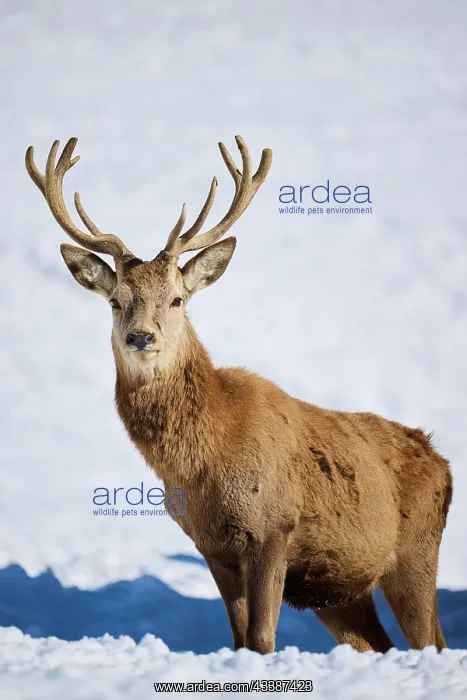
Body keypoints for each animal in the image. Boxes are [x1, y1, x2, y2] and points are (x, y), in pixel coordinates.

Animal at [25, 136, 453, 655]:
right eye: (115, 301)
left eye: (177, 299)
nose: (141, 337)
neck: (208, 458)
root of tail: (442, 460)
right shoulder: (211, 547)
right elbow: (239, 640)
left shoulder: (273, 527)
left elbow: (263, 639)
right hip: (339, 592)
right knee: (382, 645)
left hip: (416, 551)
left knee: (433, 640)